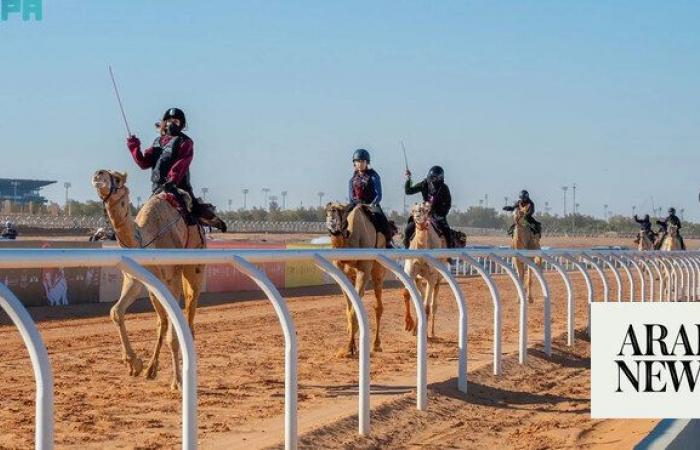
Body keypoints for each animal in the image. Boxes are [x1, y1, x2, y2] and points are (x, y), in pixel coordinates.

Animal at [92, 170, 205, 390]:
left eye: (117, 179)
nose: (98, 174)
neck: (146, 239)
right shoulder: (135, 279)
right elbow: (115, 311)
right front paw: (134, 364)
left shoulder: (172, 278)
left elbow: (174, 333)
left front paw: (176, 382)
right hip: (155, 288)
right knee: (162, 321)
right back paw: (151, 369)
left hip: (195, 265)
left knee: (189, 312)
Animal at [326, 203, 386, 356]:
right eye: (327, 212)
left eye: (339, 211)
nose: (331, 213)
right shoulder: (342, 271)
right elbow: (349, 310)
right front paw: (351, 344)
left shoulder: (364, 270)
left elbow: (354, 311)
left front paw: (349, 348)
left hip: (378, 270)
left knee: (378, 306)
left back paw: (376, 344)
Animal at [402, 203, 446, 338]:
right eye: (414, 210)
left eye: (426, 210)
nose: (418, 216)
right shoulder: (410, 272)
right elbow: (407, 294)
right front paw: (409, 324)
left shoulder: (431, 277)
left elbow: (427, 306)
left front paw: (425, 334)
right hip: (419, 279)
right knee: (421, 299)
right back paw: (416, 329)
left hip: (437, 279)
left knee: (433, 304)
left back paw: (431, 332)